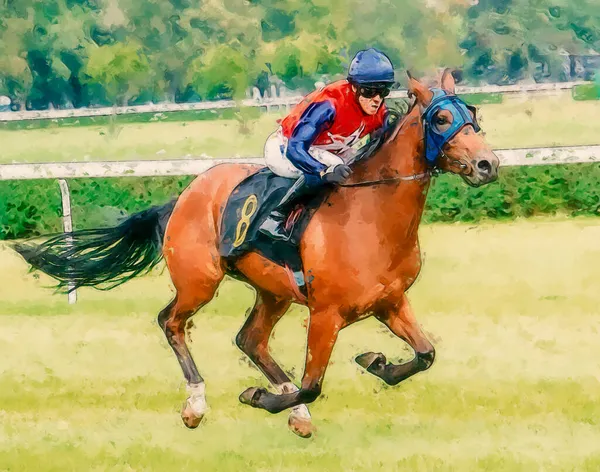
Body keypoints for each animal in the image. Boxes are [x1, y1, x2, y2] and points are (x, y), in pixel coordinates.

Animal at [15, 70, 502, 438]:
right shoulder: (325, 315)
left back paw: (290, 411)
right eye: (441, 117)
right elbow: (311, 384)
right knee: (171, 322)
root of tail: (184, 195)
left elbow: (425, 355)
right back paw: (196, 404)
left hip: (274, 292)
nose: (488, 164)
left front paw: (377, 363)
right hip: (200, 281)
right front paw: (261, 398)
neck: (371, 217)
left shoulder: (390, 302)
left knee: (250, 339)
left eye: (473, 114)